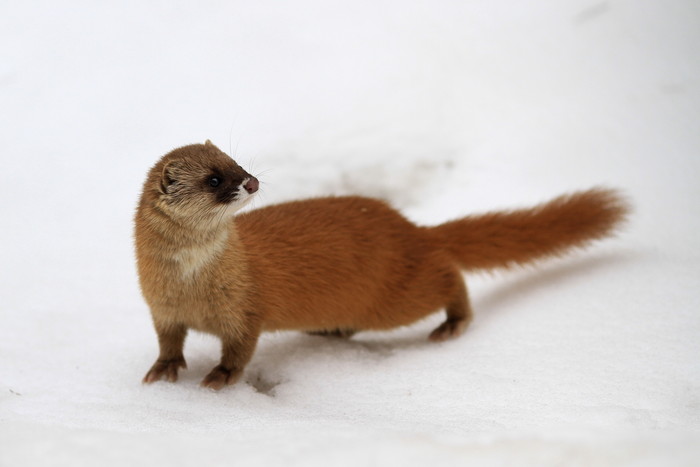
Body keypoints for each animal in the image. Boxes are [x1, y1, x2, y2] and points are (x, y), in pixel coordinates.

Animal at [134, 141, 628, 390]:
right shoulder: (159, 308)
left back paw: (451, 325)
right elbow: (168, 341)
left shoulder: (245, 308)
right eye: (215, 178)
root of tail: (412, 228)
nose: (252, 181)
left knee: (450, 278)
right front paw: (162, 370)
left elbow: (239, 350)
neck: (190, 285)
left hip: (396, 298)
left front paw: (218, 377)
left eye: (237, 162)